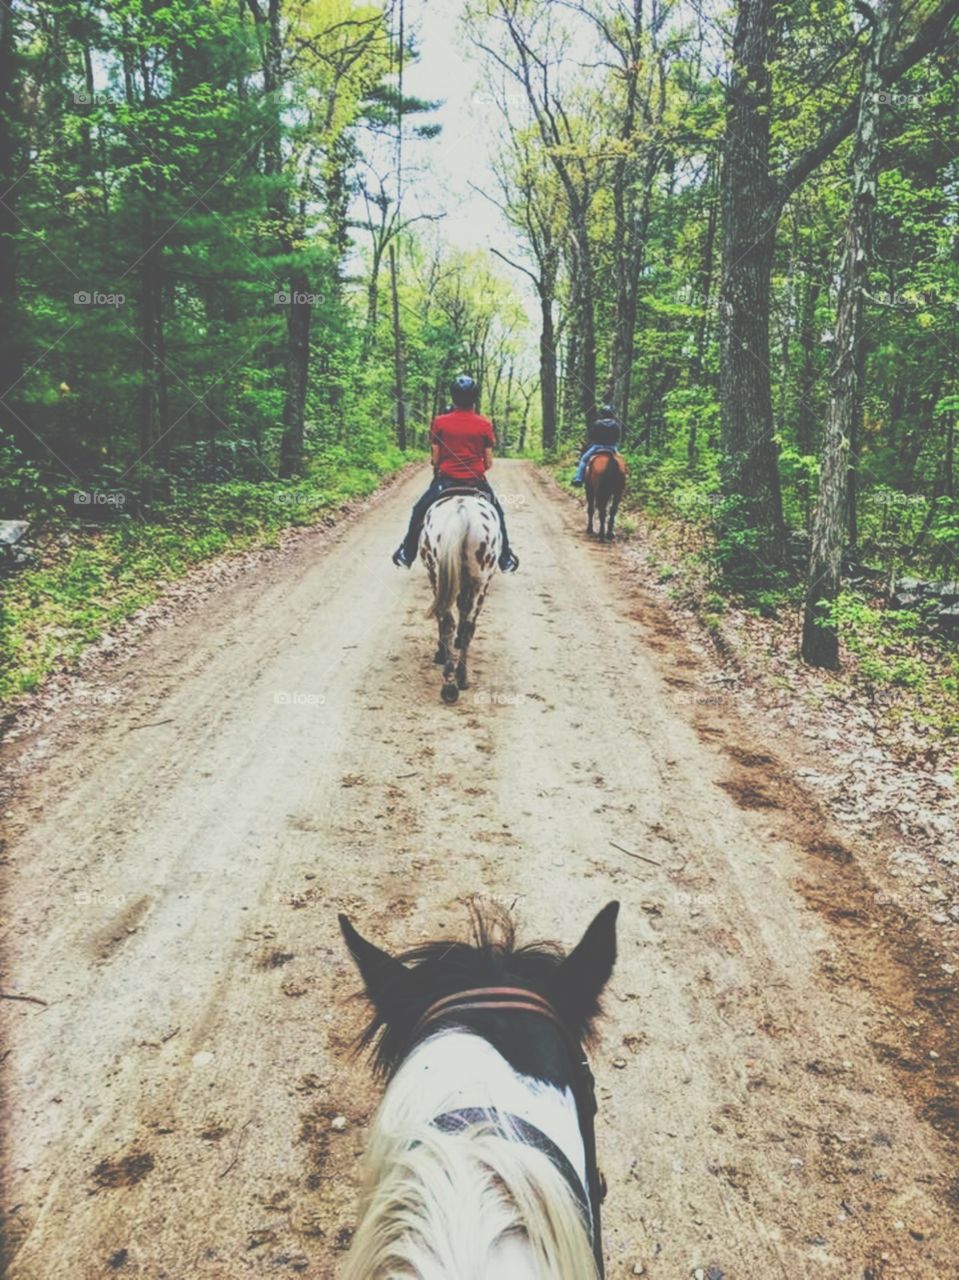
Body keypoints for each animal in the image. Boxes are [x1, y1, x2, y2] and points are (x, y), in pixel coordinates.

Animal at [419, 491, 501, 711]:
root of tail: (461, 512)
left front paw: (441, 652)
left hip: (437, 574)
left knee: (450, 621)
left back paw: (450, 684)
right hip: (481, 580)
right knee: (466, 626)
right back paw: (459, 680)